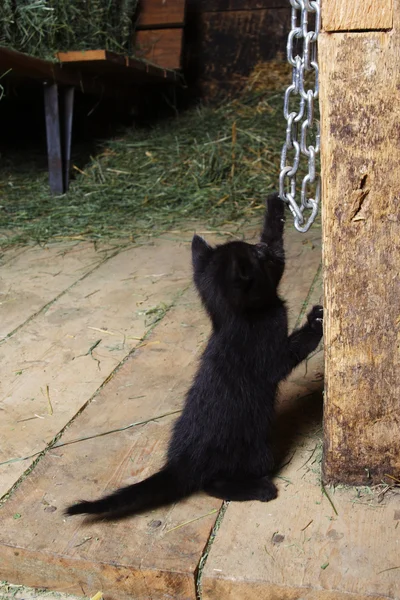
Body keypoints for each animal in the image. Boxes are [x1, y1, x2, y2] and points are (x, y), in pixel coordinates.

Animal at [65, 193, 322, 520]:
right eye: (257, 256)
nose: (261, 249)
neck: (234, 319)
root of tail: (181, 463)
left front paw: (274, 209)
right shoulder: (268, 353)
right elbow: (292, 350)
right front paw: (316, 322)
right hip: (257, 450)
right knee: (212, 483)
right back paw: (260, 489)